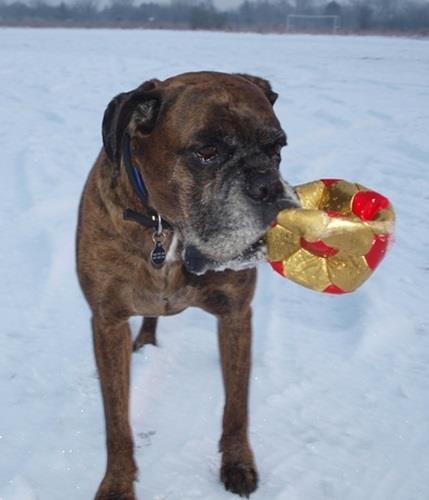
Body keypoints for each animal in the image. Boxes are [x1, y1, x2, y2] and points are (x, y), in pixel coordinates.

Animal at [76, 71, 299, 499]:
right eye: (207, 152)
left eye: (276, 148)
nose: (267, 186)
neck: (165, 227)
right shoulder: (107, 321)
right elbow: (116, 420)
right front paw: (117, 482)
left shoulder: (236, 314)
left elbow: (236, 405)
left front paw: (237, 462)